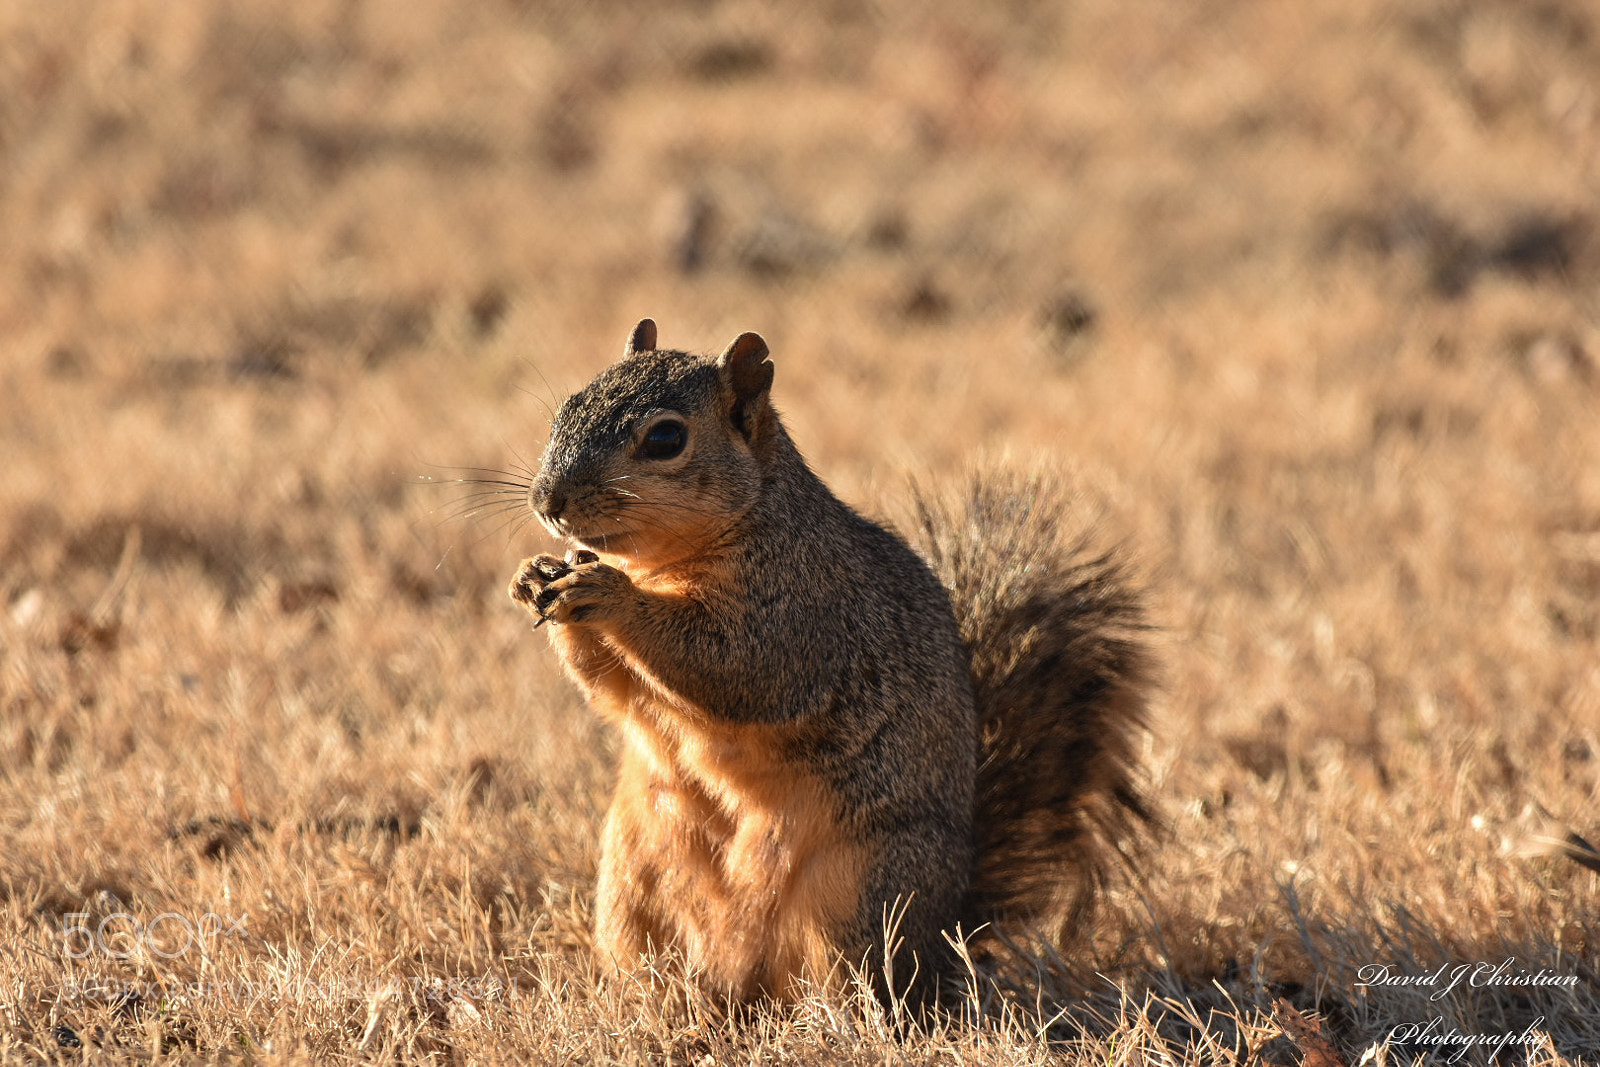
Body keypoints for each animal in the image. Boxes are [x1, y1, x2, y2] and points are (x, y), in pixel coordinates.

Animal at [508, 319, 1152, 1005]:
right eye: (567, 405)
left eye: (665, 438)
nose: (548, 500)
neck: (663, 563)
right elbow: (611, 692)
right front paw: (534, 575)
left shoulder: (806, 616)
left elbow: (735, 667)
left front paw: (607, 594)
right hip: (634, 879)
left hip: (861, 895)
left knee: (857, 984)